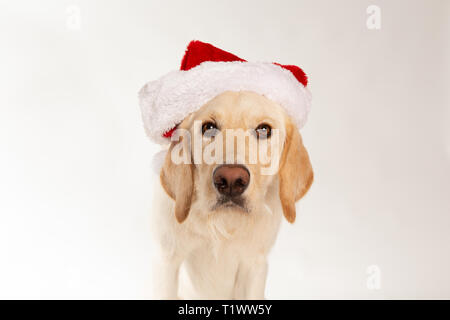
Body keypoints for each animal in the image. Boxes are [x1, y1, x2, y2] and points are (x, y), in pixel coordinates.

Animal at [149, 90, 312, 300]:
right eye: (208, 128)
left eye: (264, 129)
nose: (231, 181)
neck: (224, 226)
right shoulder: (166, 260)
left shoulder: (254, 264)